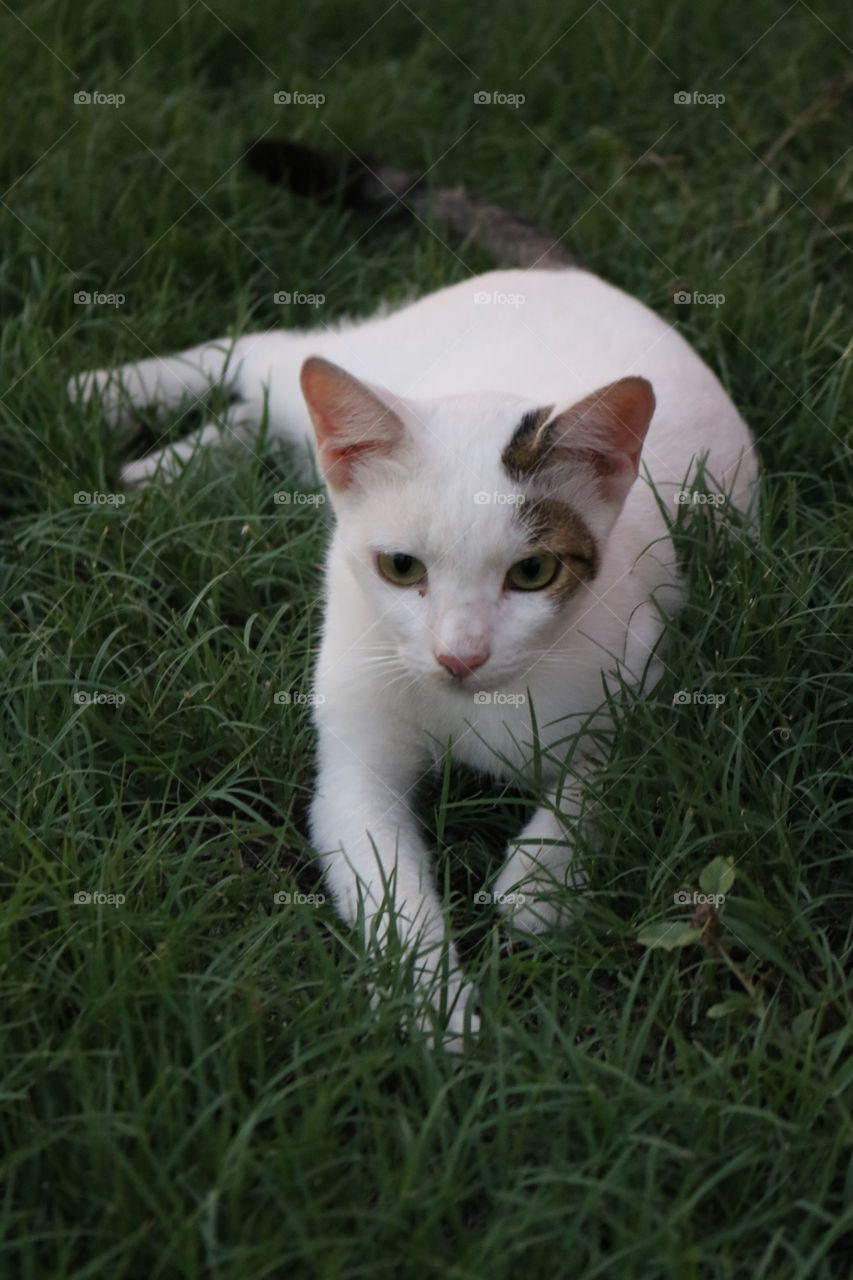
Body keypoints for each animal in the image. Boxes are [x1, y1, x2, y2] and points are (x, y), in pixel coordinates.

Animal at [69, 145, 753, 1049]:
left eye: (532, 574)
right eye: (400, 568)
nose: (459, 654)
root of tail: (572, 276)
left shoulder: (648, 657)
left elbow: (611, 764)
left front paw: (540, 876)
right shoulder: (354, 768)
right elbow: (387, 889)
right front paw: (438, 1014)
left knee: (261, 411)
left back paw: (162, 466)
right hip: (357, 359)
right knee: (268, 352)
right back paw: (99, 392)